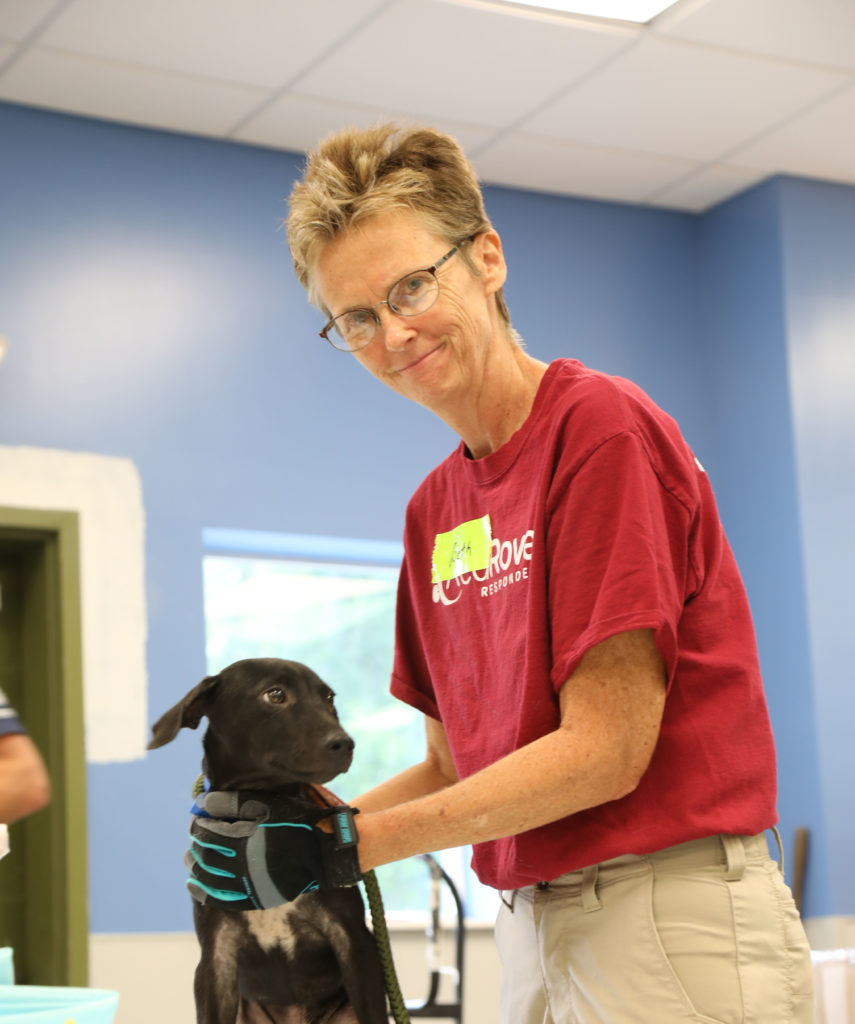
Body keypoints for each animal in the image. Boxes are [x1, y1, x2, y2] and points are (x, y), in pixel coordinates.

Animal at [148, 655, 387, 1024]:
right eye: (275, 695)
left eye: (328, 699)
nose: (345, 744)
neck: (264, 812)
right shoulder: (215, 956)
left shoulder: (354, 942)